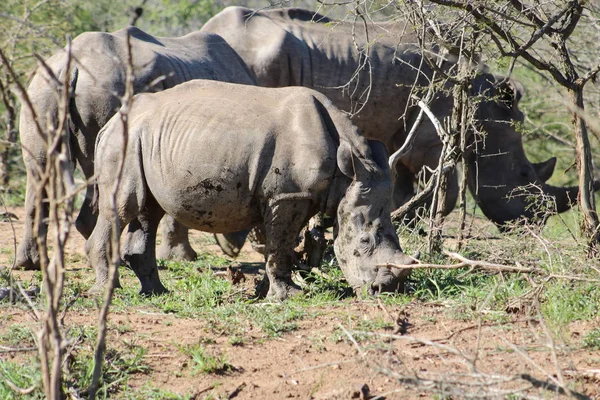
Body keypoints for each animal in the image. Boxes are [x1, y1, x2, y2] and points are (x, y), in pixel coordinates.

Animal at [15, 25, 255, 268]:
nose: (235, 248)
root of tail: (71, 65)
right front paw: (182, 258)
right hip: (105, 91)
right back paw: (113, 261)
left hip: (39, 90)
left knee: (39, 169)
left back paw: (29, 264)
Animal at [88, 79, 418, 298]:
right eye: (364, 241)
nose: (387, 289)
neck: (346, 174)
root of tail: (109, 124)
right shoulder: (288, 195)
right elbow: (281, 246)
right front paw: (289, 295)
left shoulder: (287, 197)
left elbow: (276, 247)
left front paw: (265, 292)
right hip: (124, 141)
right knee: (123, 208)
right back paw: (106, 293)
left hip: (142, 140)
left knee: (148, 211)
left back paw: (157, 292)